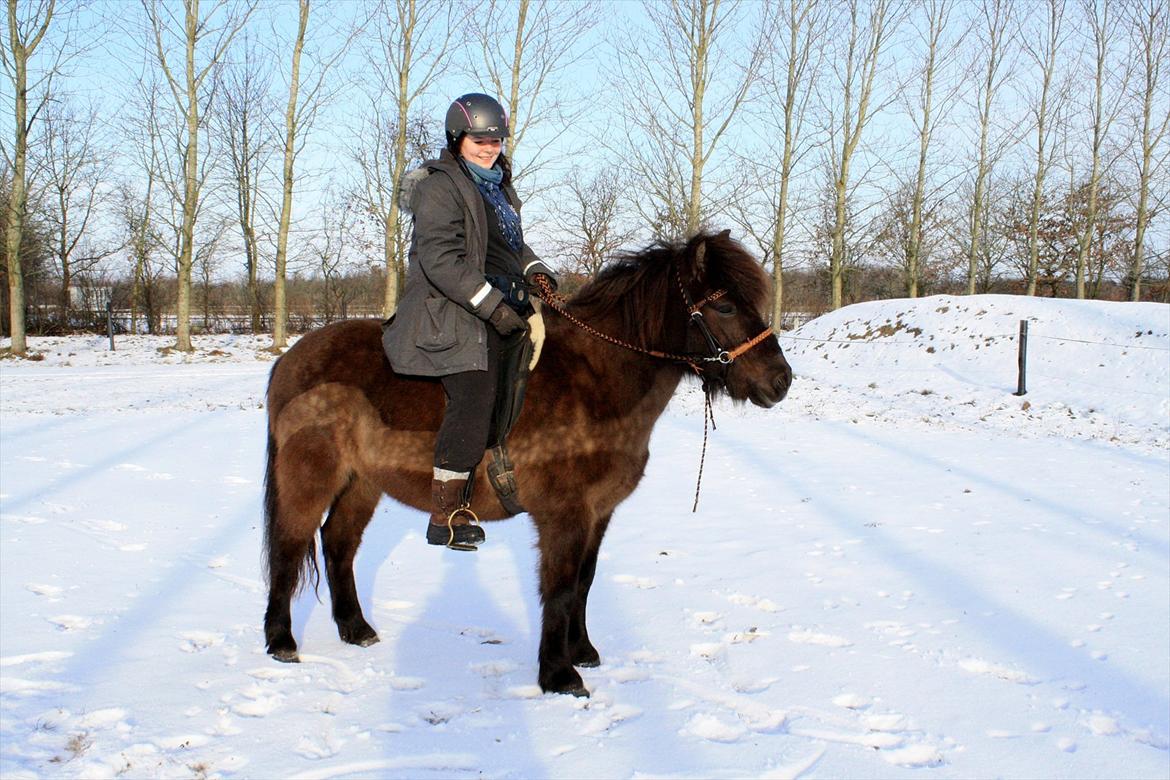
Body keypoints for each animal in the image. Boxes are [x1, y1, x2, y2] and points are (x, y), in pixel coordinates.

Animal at [263, 230, 795, 696]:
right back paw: (281, 642)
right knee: (290, 546)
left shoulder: (598, 513)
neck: (598, 380)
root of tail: (291, 360)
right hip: (310, 478)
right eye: (725, 305)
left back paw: (356, 629)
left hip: (362, 483)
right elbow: (558, 588)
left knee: (338, 544)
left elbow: (583, 582)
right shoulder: (564, 514)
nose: (781, 380)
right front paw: (559, 675)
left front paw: (582, 652)